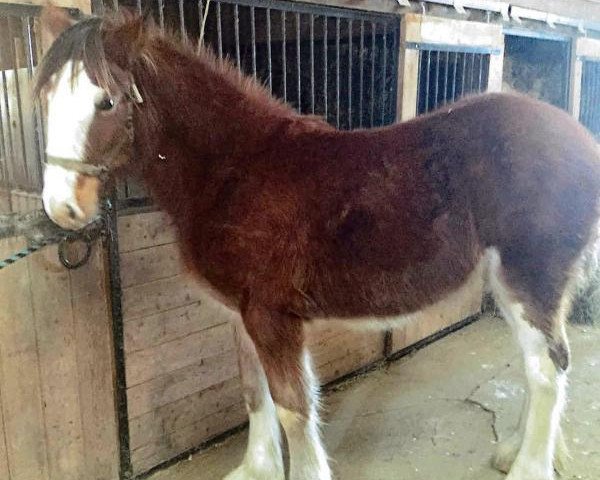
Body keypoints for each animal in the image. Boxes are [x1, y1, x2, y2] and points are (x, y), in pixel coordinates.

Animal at [36, 8, 600, 480]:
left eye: (106, 101)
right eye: (43, 98)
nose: (62, 209)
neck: (234, 172)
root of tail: (581, 142)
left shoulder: (272, 316)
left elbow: (292, 408)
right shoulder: (243, 315)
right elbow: (254, 394)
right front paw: (255, 470)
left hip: (530, 278)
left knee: (548, 369)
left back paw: (529, 468)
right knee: (539, 363)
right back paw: (513, 450)